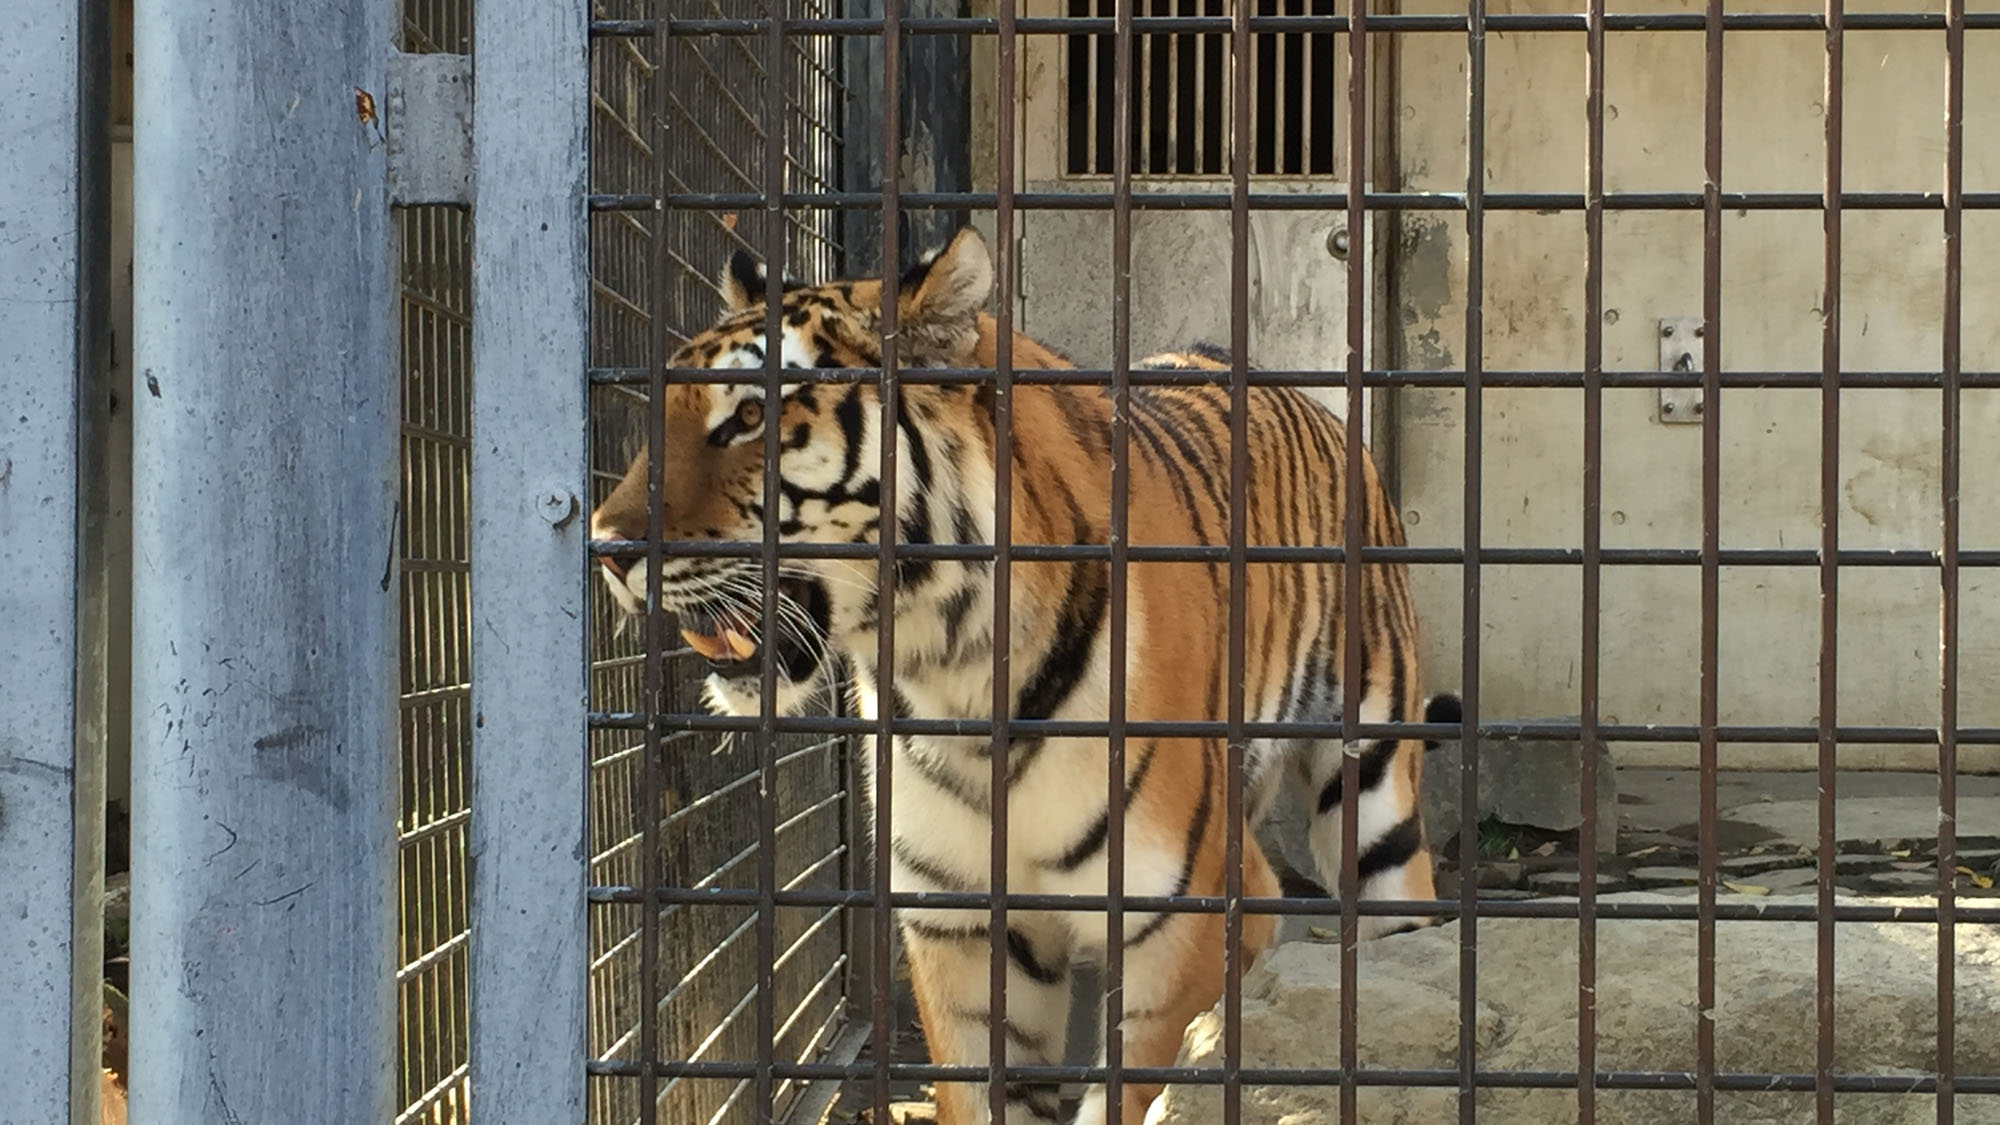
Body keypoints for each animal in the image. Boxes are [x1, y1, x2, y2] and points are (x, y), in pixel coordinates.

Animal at [584, 223, 1464, 1112]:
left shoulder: (1185, 923)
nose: (606, 547)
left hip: (1376, 798)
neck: (952, 667)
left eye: (751, 415)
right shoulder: (963, 922)